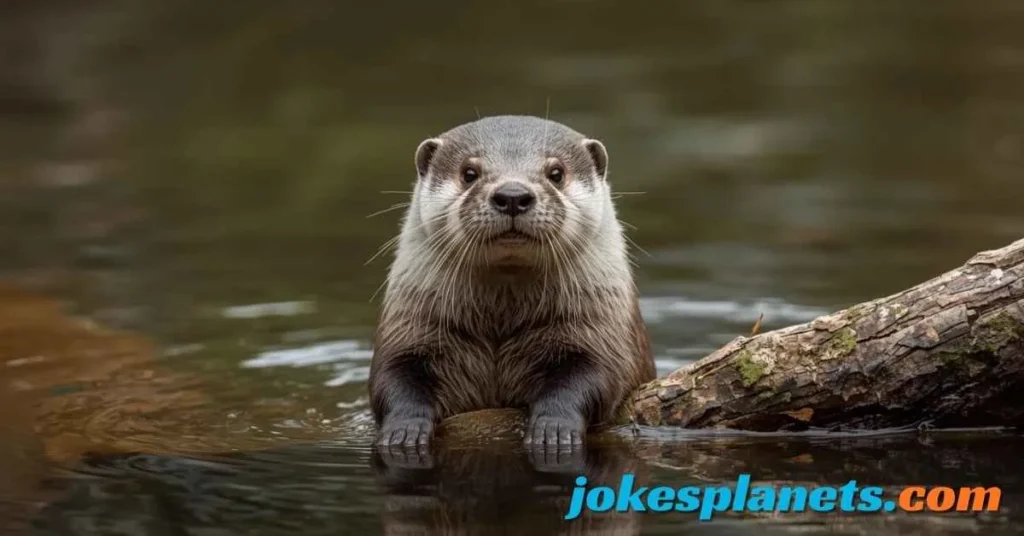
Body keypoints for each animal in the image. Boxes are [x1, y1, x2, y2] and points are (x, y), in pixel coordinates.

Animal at [369, 115, 655, 447]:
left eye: (556, 173)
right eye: (469, 173)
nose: (513, 195)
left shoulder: (599, 332)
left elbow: (591, 376)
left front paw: (553, 429)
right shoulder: (411, 329)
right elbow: (394, 379)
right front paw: (403, 431)